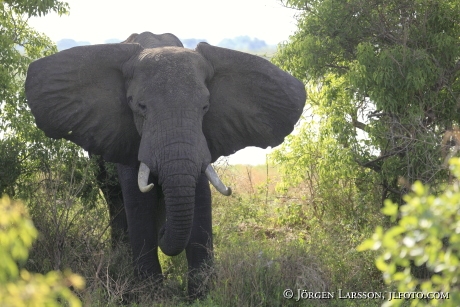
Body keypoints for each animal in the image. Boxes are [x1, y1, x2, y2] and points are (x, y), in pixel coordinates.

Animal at [24, 31, 306, 298]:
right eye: (140, 106)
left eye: (205, 107)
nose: (162, 233)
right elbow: (139, 198)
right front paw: (150, 293)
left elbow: (200, 195)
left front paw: (201, 294)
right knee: (115, 199)